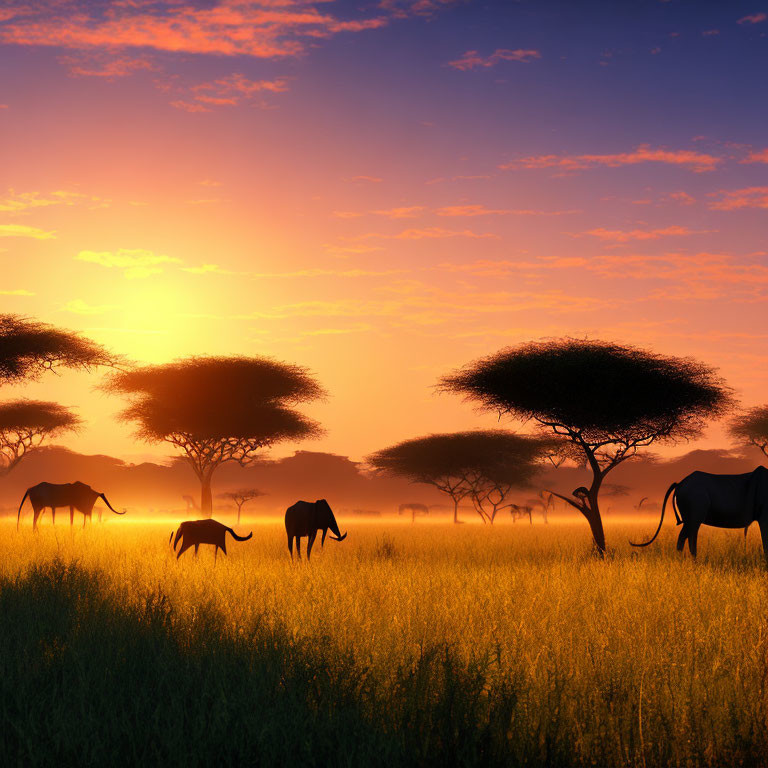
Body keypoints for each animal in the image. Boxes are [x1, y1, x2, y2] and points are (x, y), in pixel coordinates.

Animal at [632, 464, 768, 560]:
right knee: (687, 536)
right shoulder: (764, 517)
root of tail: (680, 483)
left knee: (689, 535)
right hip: (694, 513)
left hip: (691, 517)